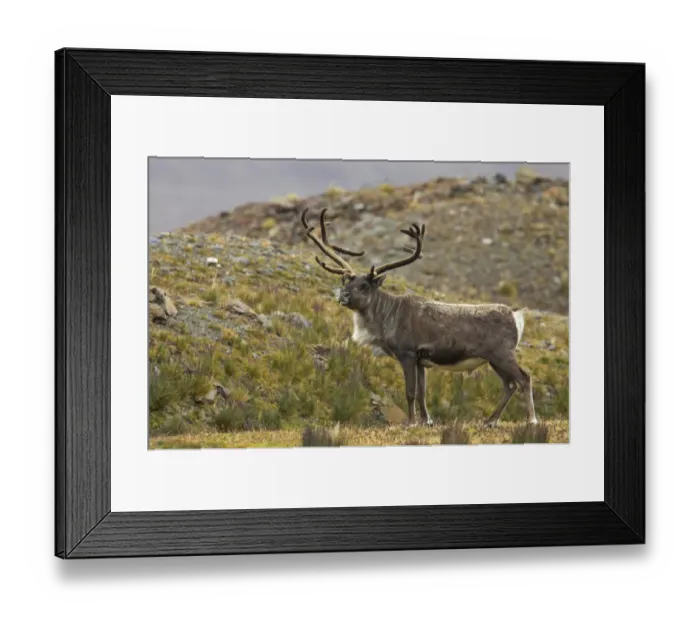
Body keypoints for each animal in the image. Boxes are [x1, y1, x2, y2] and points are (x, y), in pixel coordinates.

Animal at [299, 207, 537, 429]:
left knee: (523, 378)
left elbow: (410, 392)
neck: (386, 317)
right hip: (493, 359)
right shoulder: (422, 360)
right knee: (510, 385)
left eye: (364, 285)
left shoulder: (407, 354)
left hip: (501, 353)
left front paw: (411, 422)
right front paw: (426, 421)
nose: (344, 296)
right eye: (345, 282)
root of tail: (516, 314)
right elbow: (423, 392)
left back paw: (531, 420)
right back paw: (490, 420)